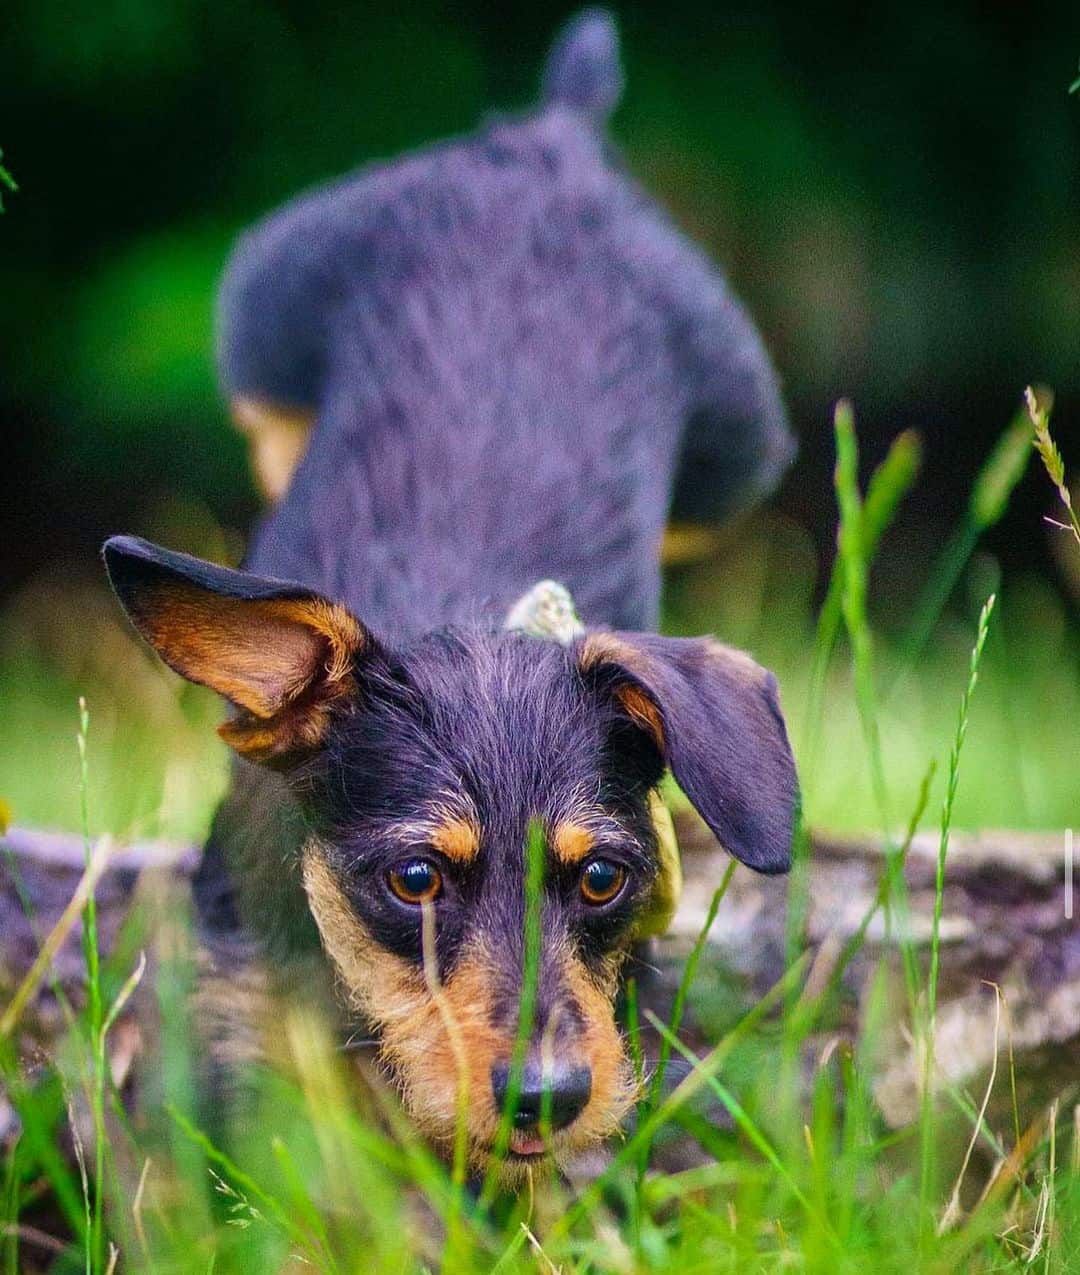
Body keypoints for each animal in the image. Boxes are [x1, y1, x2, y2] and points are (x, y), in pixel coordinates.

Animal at [105, 12, 800, 1183]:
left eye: (604, 878)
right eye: (416, 879)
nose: (547, 1096)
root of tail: (549, 137)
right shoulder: (230, 1009)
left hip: (736, 443)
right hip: (266, 315)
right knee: (273, 423)